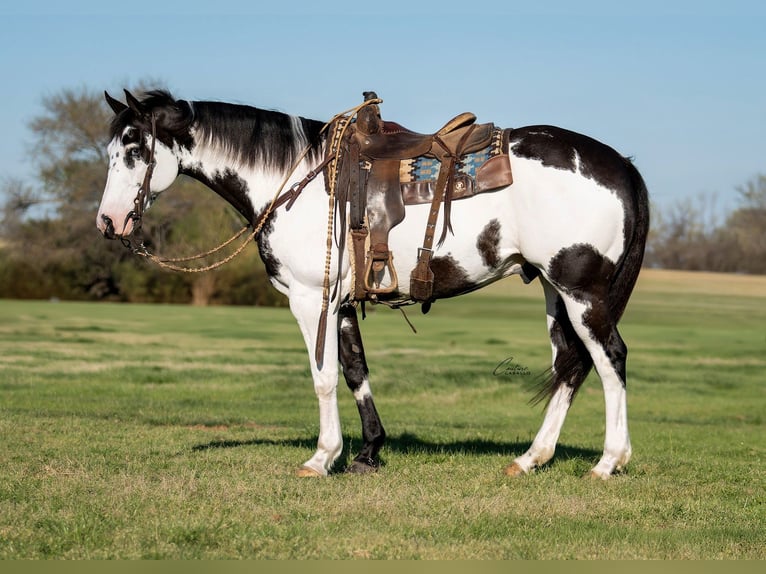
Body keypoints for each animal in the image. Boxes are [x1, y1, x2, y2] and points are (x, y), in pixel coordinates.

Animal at [96, 89, 649, 479]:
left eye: (134, 148)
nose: (108, 221)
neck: (296, 181)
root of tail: (621, 164)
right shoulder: (340, 303)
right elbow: (356, 372)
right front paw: (368, 451)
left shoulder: (310, 300)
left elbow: (323, 377)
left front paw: (322, 458)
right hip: (556, 291)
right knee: (571, 364)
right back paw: (531, 457)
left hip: (582, 292)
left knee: (610, 358)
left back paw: (608, 462)